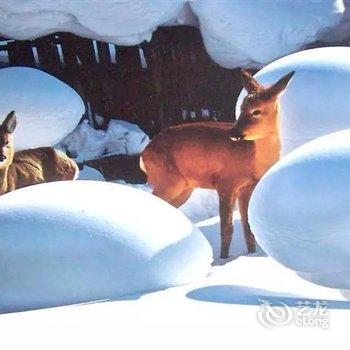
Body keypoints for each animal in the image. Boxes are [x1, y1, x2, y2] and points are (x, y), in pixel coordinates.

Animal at [141, 69, 294, 258]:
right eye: (241, 108)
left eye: (256, 111)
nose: (234, 133)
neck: (253, 159)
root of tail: (144, 154)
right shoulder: (225, 183)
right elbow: (226, 229)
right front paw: (223, 258)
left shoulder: (248, 188)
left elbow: (248, 228)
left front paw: (250, 254)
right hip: (167, 181)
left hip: (184, 188)